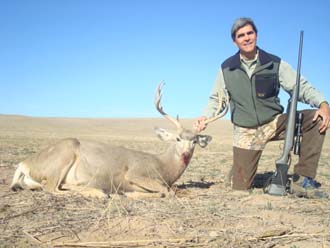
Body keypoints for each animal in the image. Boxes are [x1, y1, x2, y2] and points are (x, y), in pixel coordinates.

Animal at [9, 83, 227, 198]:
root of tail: (24, 163)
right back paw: (99, 191)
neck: (163, 167)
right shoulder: (136, 173)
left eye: (195, 141)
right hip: (65, 152)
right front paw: (132, 194)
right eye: (177, 138)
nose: (185, 153)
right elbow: (166, 191)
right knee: (52, 187)